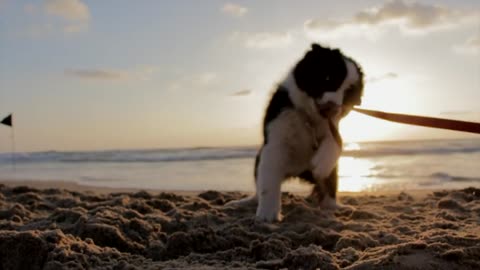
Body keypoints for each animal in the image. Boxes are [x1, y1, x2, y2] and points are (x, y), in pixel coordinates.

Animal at [227, 43, 362, 221]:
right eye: (327, 78)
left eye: (348, 95)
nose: (333, 107)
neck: (308, 117)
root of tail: (299, 172)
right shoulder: (275, 139)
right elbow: (268, 181)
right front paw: (267, 214)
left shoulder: (332, 127)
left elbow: (336, 143)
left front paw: (321, 165)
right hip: (259, 159)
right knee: (259, 186)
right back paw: (243, 202)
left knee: (329, 188)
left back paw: (336, 207)